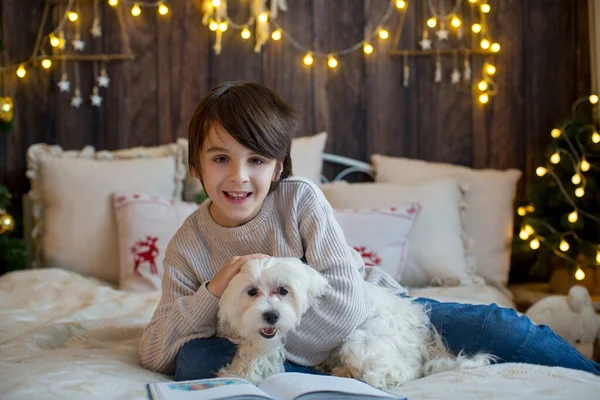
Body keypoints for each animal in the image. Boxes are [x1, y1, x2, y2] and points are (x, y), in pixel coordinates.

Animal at [216, 258, 492, 390]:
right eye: (251, 292)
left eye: (283, 290)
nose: (271, 315)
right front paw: (238, 372)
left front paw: (242, 373)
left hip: (361, 342)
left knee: (401, 372)